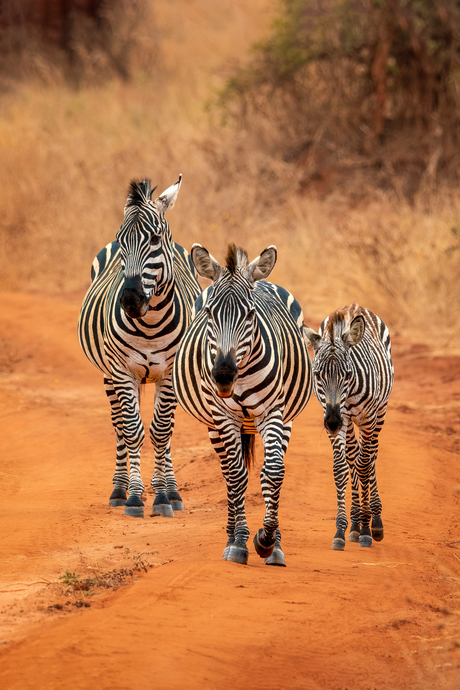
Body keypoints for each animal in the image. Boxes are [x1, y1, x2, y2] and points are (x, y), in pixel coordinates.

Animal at [78, 176, 200, 516]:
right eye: (121, 240)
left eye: (156, 238)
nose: (131, 300)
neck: (150, 326)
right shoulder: (122, 371)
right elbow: (132, 430)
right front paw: (133, 497)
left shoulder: (169, 374)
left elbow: (161, 431)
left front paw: (162, 497)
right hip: (108, 375)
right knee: (119, 425)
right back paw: (120, 490)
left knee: (167, 429)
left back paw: (169, 488)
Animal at [172, 242, 312, 564]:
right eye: (210, 313)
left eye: (250, 314)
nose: (223, 375)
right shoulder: (223, 416)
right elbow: (236, 475)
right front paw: (239, 542)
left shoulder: (273, 412)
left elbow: (273, 472)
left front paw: (268, 541)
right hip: (213, 424)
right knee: (228, 472)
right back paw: (231, 534)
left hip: (286, 419)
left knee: (269, 468)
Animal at [304, 304, 394, 552]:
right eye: (317, 375)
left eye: (347, 374)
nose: (333, 422)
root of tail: (356, 306)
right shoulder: (339, 418)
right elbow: (341, 469)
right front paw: (342, 530)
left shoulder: (368, 417)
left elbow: (364, 466)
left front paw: (366, 530)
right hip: (352, 424)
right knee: (355, 456)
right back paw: (354, 524)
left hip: (379, 413)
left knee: (370, 456)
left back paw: (374, 521)